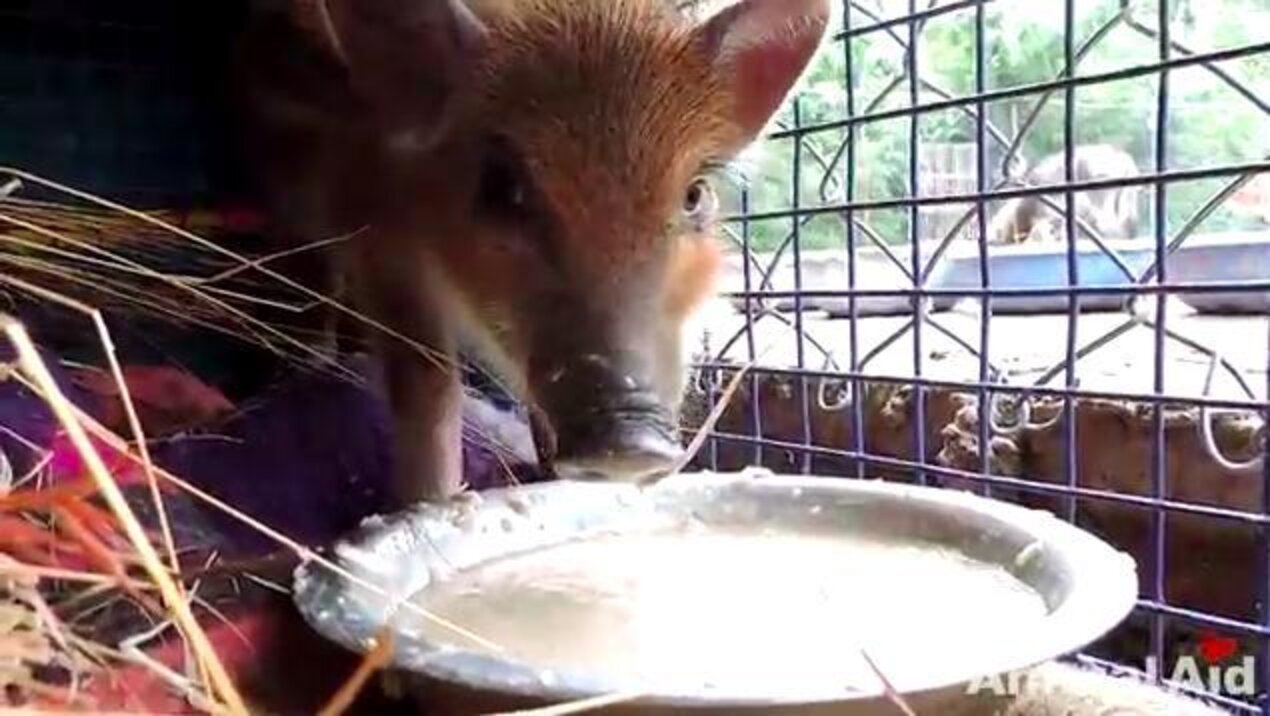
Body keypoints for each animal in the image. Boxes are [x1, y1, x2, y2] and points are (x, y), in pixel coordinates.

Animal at [233, 0, 831, 504]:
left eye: (694, 195)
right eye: (502, 186)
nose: (630, 441)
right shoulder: (374, 235)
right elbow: (427, 379)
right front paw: (427, 503)